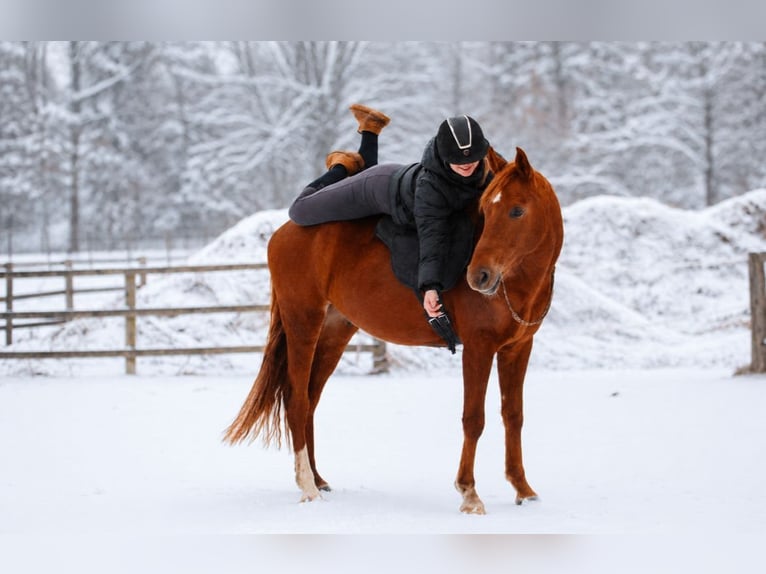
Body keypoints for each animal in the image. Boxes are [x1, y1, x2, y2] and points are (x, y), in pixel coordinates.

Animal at [224, 146, 564, 514]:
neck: (514, 285)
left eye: (517, 210)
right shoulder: (478, 348)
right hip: (303, 321)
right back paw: (307, 486)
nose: (479, 276)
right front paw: (469, 493)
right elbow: (473, 418)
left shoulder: (517, 349)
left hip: (333, 333)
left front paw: (523, 489)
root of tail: (284, 232)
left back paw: (317, 478)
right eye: (486, 210)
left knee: (310, 401)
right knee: (297, 400)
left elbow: (513, 415)